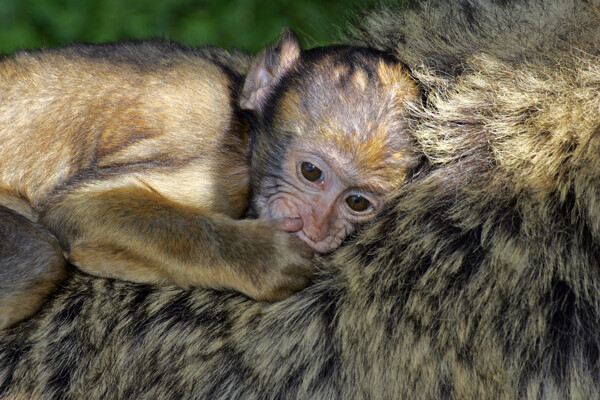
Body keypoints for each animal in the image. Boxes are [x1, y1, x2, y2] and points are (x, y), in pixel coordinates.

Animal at [0, 28, 418, 328]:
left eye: (357, 202)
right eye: (311, 172)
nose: (317, 228)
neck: (245, 131)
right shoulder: (221, 171)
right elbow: (79, 207)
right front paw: (264, 257)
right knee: (41, 258)